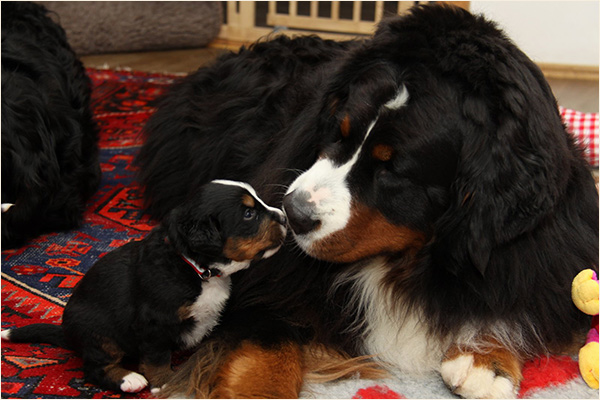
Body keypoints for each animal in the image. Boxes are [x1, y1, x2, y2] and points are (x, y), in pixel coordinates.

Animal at [1, 180, 287, 393]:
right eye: (249, 214)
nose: (284, 217)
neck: (195, 268)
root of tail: (68, 334)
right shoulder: (154, 322)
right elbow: (157, 358)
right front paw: (164, 384)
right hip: (98, 331)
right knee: (95, 368)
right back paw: (129, 379)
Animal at [136, 5, 599, 399]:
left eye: (392, 169)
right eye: (337, 132)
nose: (293, 214)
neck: (405, 264)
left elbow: (516, 297)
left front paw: (487, 357)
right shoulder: (263, 284)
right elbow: (267, 353)